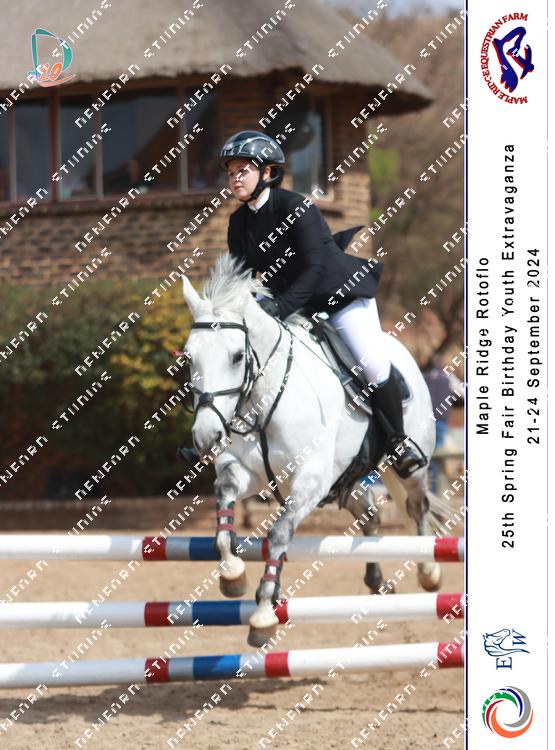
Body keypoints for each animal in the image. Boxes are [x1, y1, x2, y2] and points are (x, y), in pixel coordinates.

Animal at [178, 253, 451, 647]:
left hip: (409, 465)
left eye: (236, 357)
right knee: (369, 512)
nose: (205, 436)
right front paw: (232, 573)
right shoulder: (248, 473)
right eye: (188, 358)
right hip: (344, 479)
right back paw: (376, 580)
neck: (264, 397)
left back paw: (429, 571)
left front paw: (263, 615)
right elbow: (224, 499)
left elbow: (278, 533)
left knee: (417, 506)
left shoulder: (310, 479)